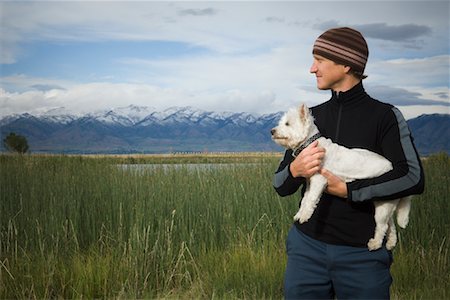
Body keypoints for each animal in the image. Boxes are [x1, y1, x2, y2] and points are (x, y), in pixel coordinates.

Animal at [270, 103, 412, 251]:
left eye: (287, 123)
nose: (272, 131)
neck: (311, 144)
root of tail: (391, 167)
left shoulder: (319, 180)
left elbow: (311, 199)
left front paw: (304, 216)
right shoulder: (310, 182)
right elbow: (305, 200)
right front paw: (299, 214)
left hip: (383, 206)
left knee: (382, 226)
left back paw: (375, 244)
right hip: (386, 204)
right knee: (391, 225)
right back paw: (390, 243)